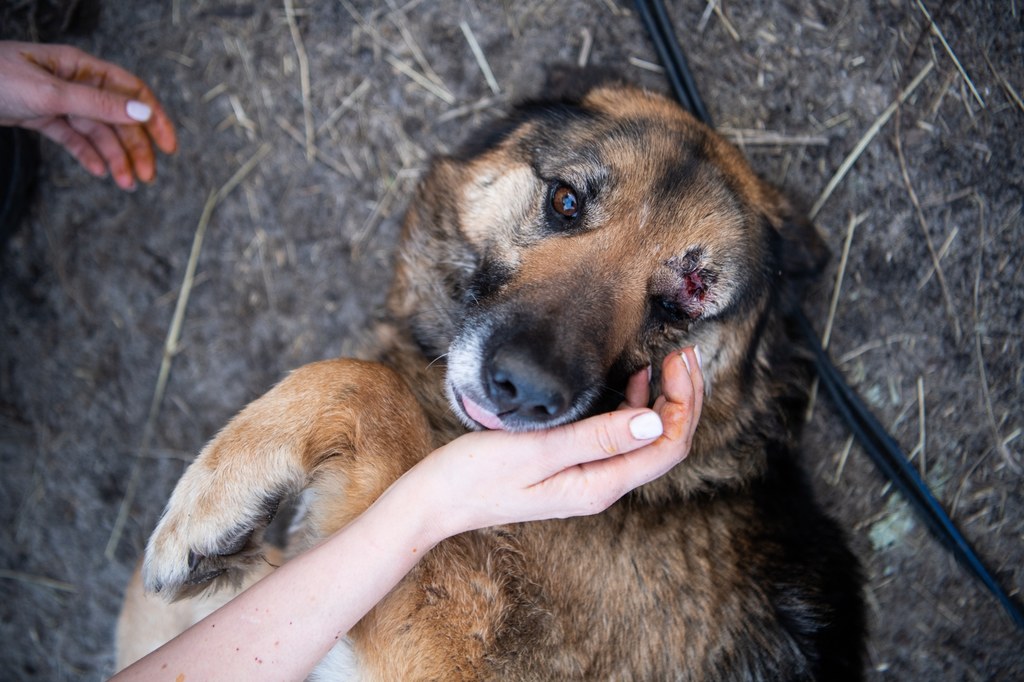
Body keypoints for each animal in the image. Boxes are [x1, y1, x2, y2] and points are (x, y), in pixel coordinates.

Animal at [116, 80, 864, 679]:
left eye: (686, 299)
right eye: (565, 200)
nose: (526, 388)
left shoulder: (432, 657)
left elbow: (368, 386)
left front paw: (208, 506)